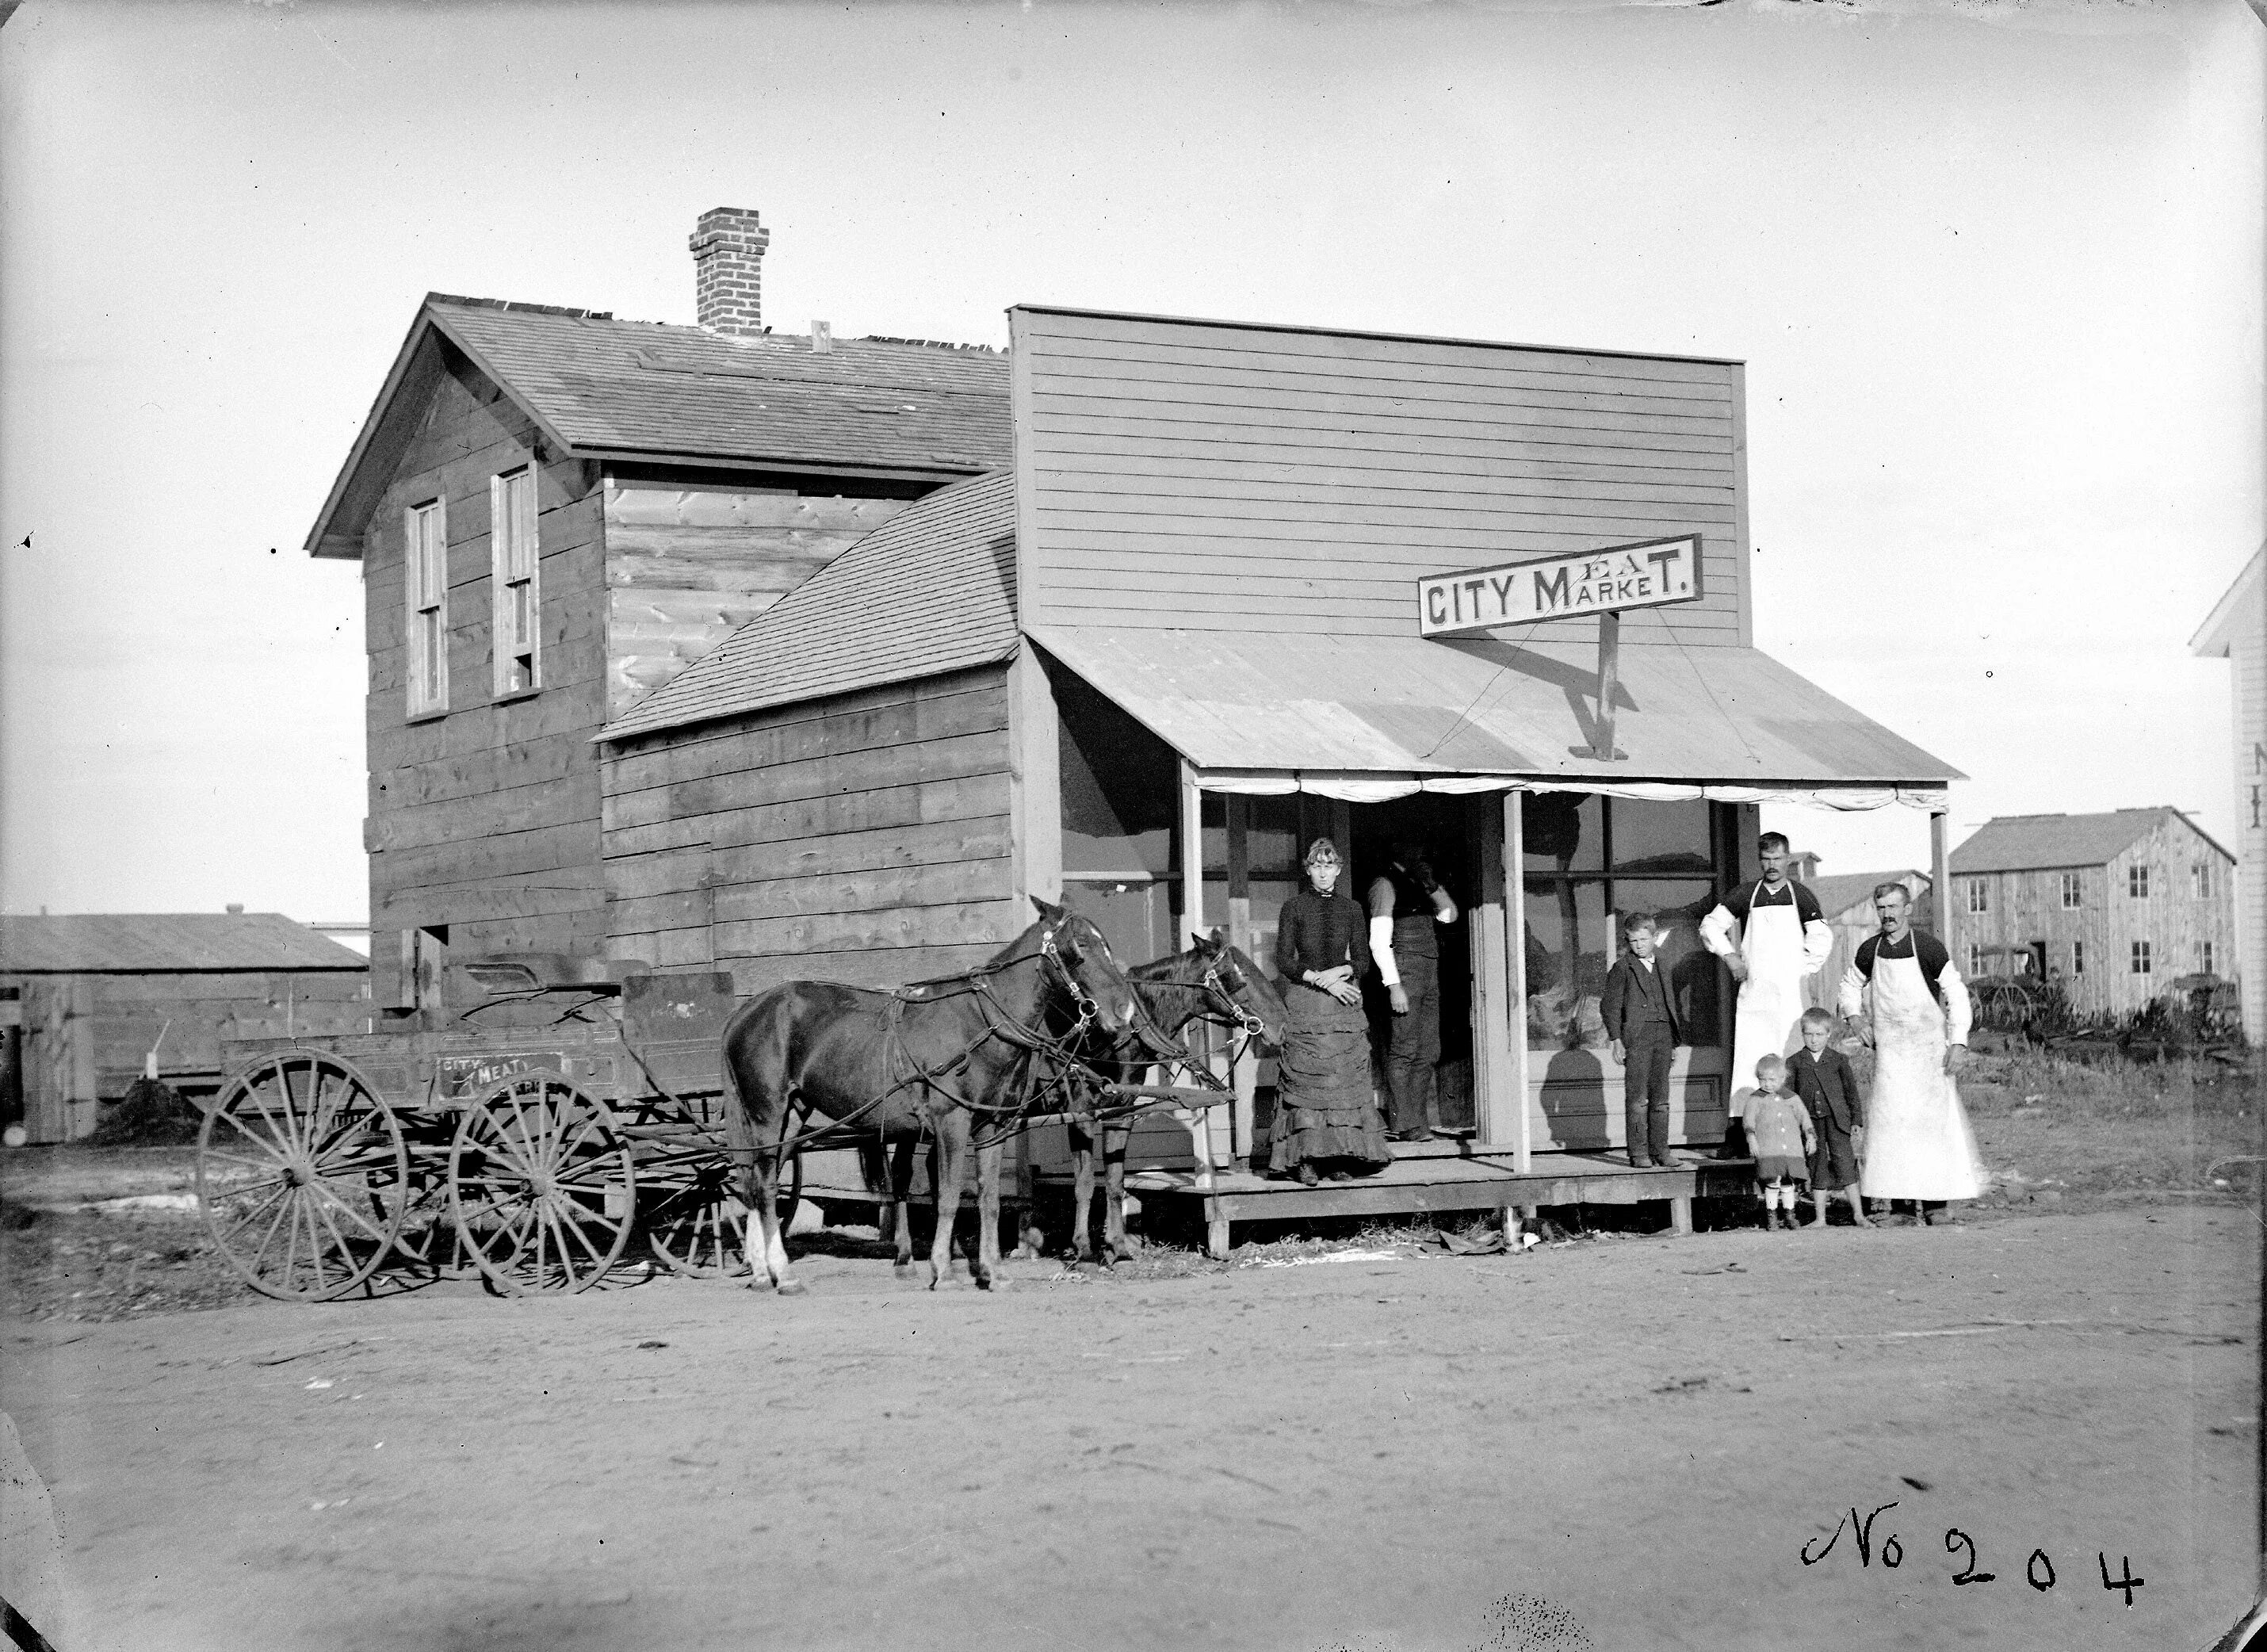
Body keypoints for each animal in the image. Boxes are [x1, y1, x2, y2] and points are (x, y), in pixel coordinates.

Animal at [721, 901, 1142, 1287]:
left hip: (792, 1119)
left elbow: (989, 1199)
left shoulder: (992, 1125)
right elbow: (950, 1196)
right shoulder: (952, 1121)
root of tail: (748, 1010)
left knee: (760, 1181)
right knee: (765, 1186)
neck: (981, 1023)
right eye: (1080, 945)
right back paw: (780, 1272)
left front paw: (992, 1272)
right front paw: (943, 1269)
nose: (1124, 1010)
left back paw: (762, 1269)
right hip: (766, 1113)